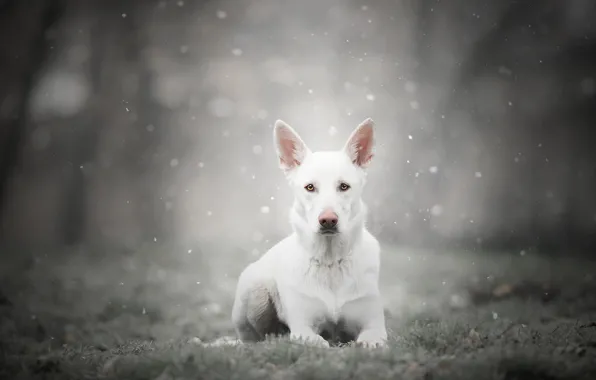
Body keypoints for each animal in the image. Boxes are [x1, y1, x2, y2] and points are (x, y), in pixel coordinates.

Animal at [230, 118, 388, 348]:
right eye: (310, 187)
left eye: (344, 186)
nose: (328, 220)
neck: (330, 262)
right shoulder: (303, 327)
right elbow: (316, 341)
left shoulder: (374, 324)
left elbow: (371, 340)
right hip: (255, 287)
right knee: (258, 338)